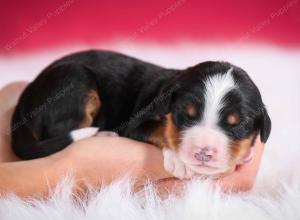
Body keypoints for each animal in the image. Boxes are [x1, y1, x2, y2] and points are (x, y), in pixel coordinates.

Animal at [11, 49, 270, 179]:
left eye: (237, 124)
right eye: (185, 116)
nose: (203, 152)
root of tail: (24, 100)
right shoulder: (135, 123)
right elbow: (161, 129)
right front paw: (178, 161)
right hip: (77, 78)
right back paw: (104, 135)